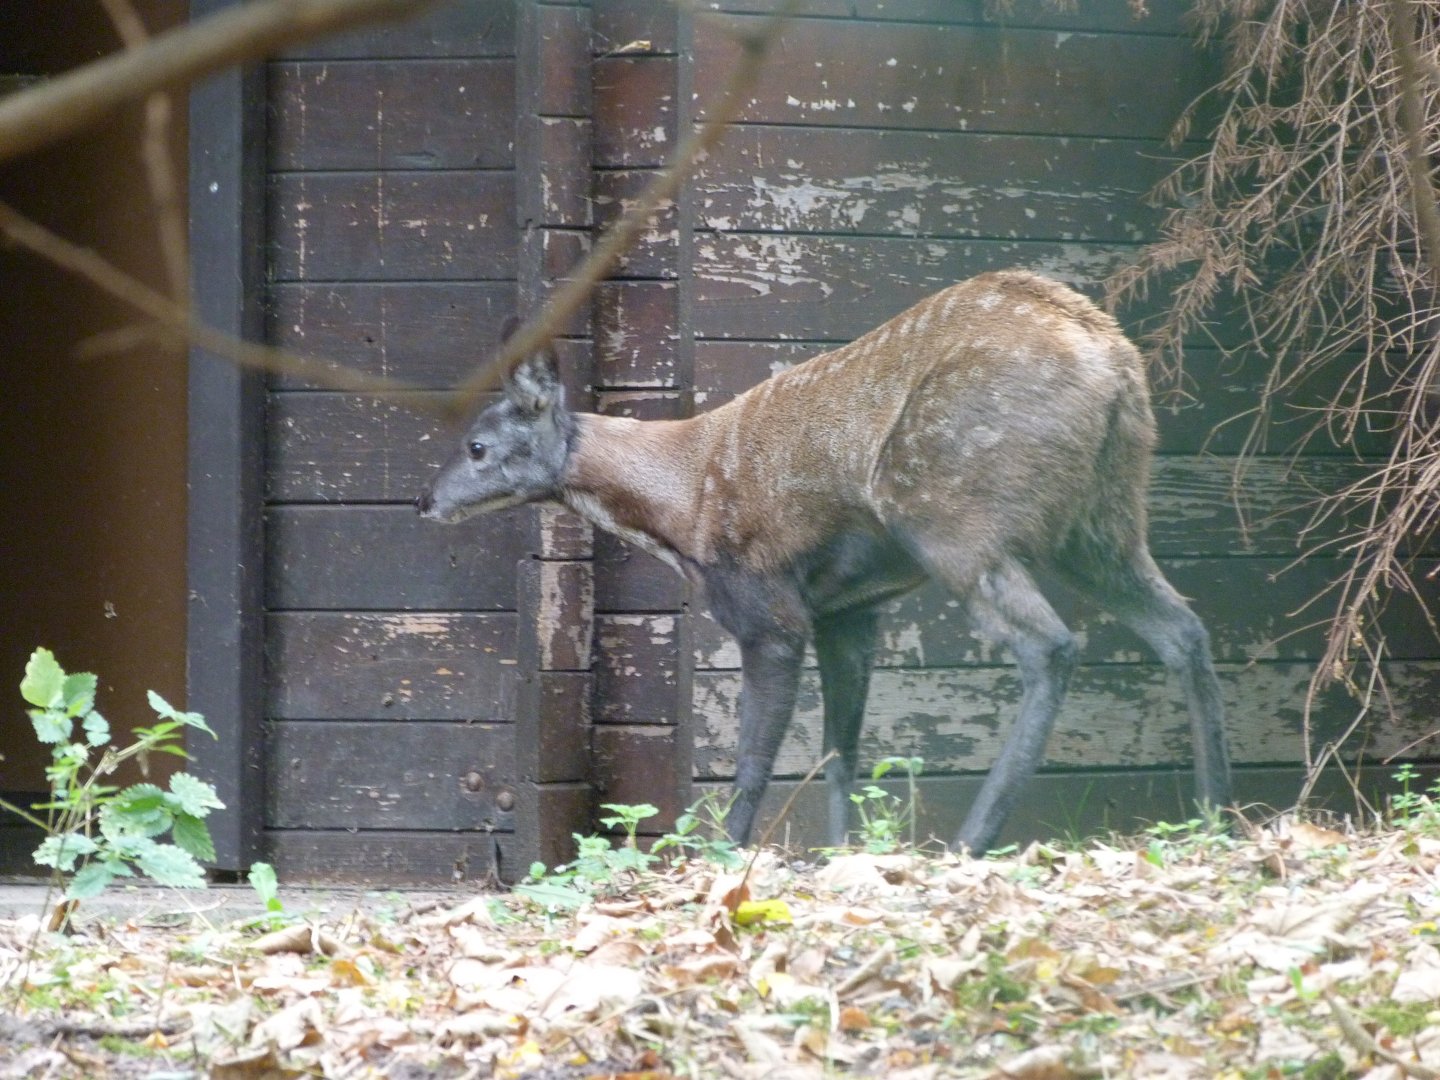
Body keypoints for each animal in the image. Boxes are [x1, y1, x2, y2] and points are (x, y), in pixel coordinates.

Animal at [416, 270, 1233, 855]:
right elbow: (842, 751)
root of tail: (1115, 363)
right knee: (1184, 630)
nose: (424, 501)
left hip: (955, 514)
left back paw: (973, 841)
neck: (682, 504)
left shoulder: (769, 611)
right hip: (1104, 521)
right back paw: (1214, 819)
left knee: (1053, 644)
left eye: (478, 445)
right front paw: (840, 857)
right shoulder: (850, 612)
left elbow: (753, 765)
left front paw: (718, 863)